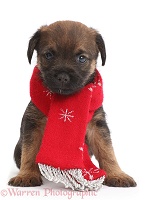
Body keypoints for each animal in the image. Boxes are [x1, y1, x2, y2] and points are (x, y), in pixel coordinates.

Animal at [8, 20, 136, 188]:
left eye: (81, 58)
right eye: (49, 55)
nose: (63, 76)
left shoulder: (97, 126)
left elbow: (107, 151)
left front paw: (116, 174)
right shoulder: (33, 124)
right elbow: (29, 152)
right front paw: (26, 174)